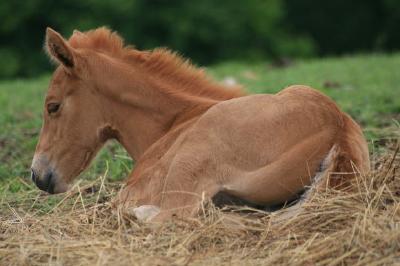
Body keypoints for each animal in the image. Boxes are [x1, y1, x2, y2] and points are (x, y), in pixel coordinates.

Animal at [29, 27, 370, 222]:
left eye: (53, 106)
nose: (38, 175)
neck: (175, 121)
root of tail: (337, 128)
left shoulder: (137, 188)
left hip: (190, 162)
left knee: (174, 217)